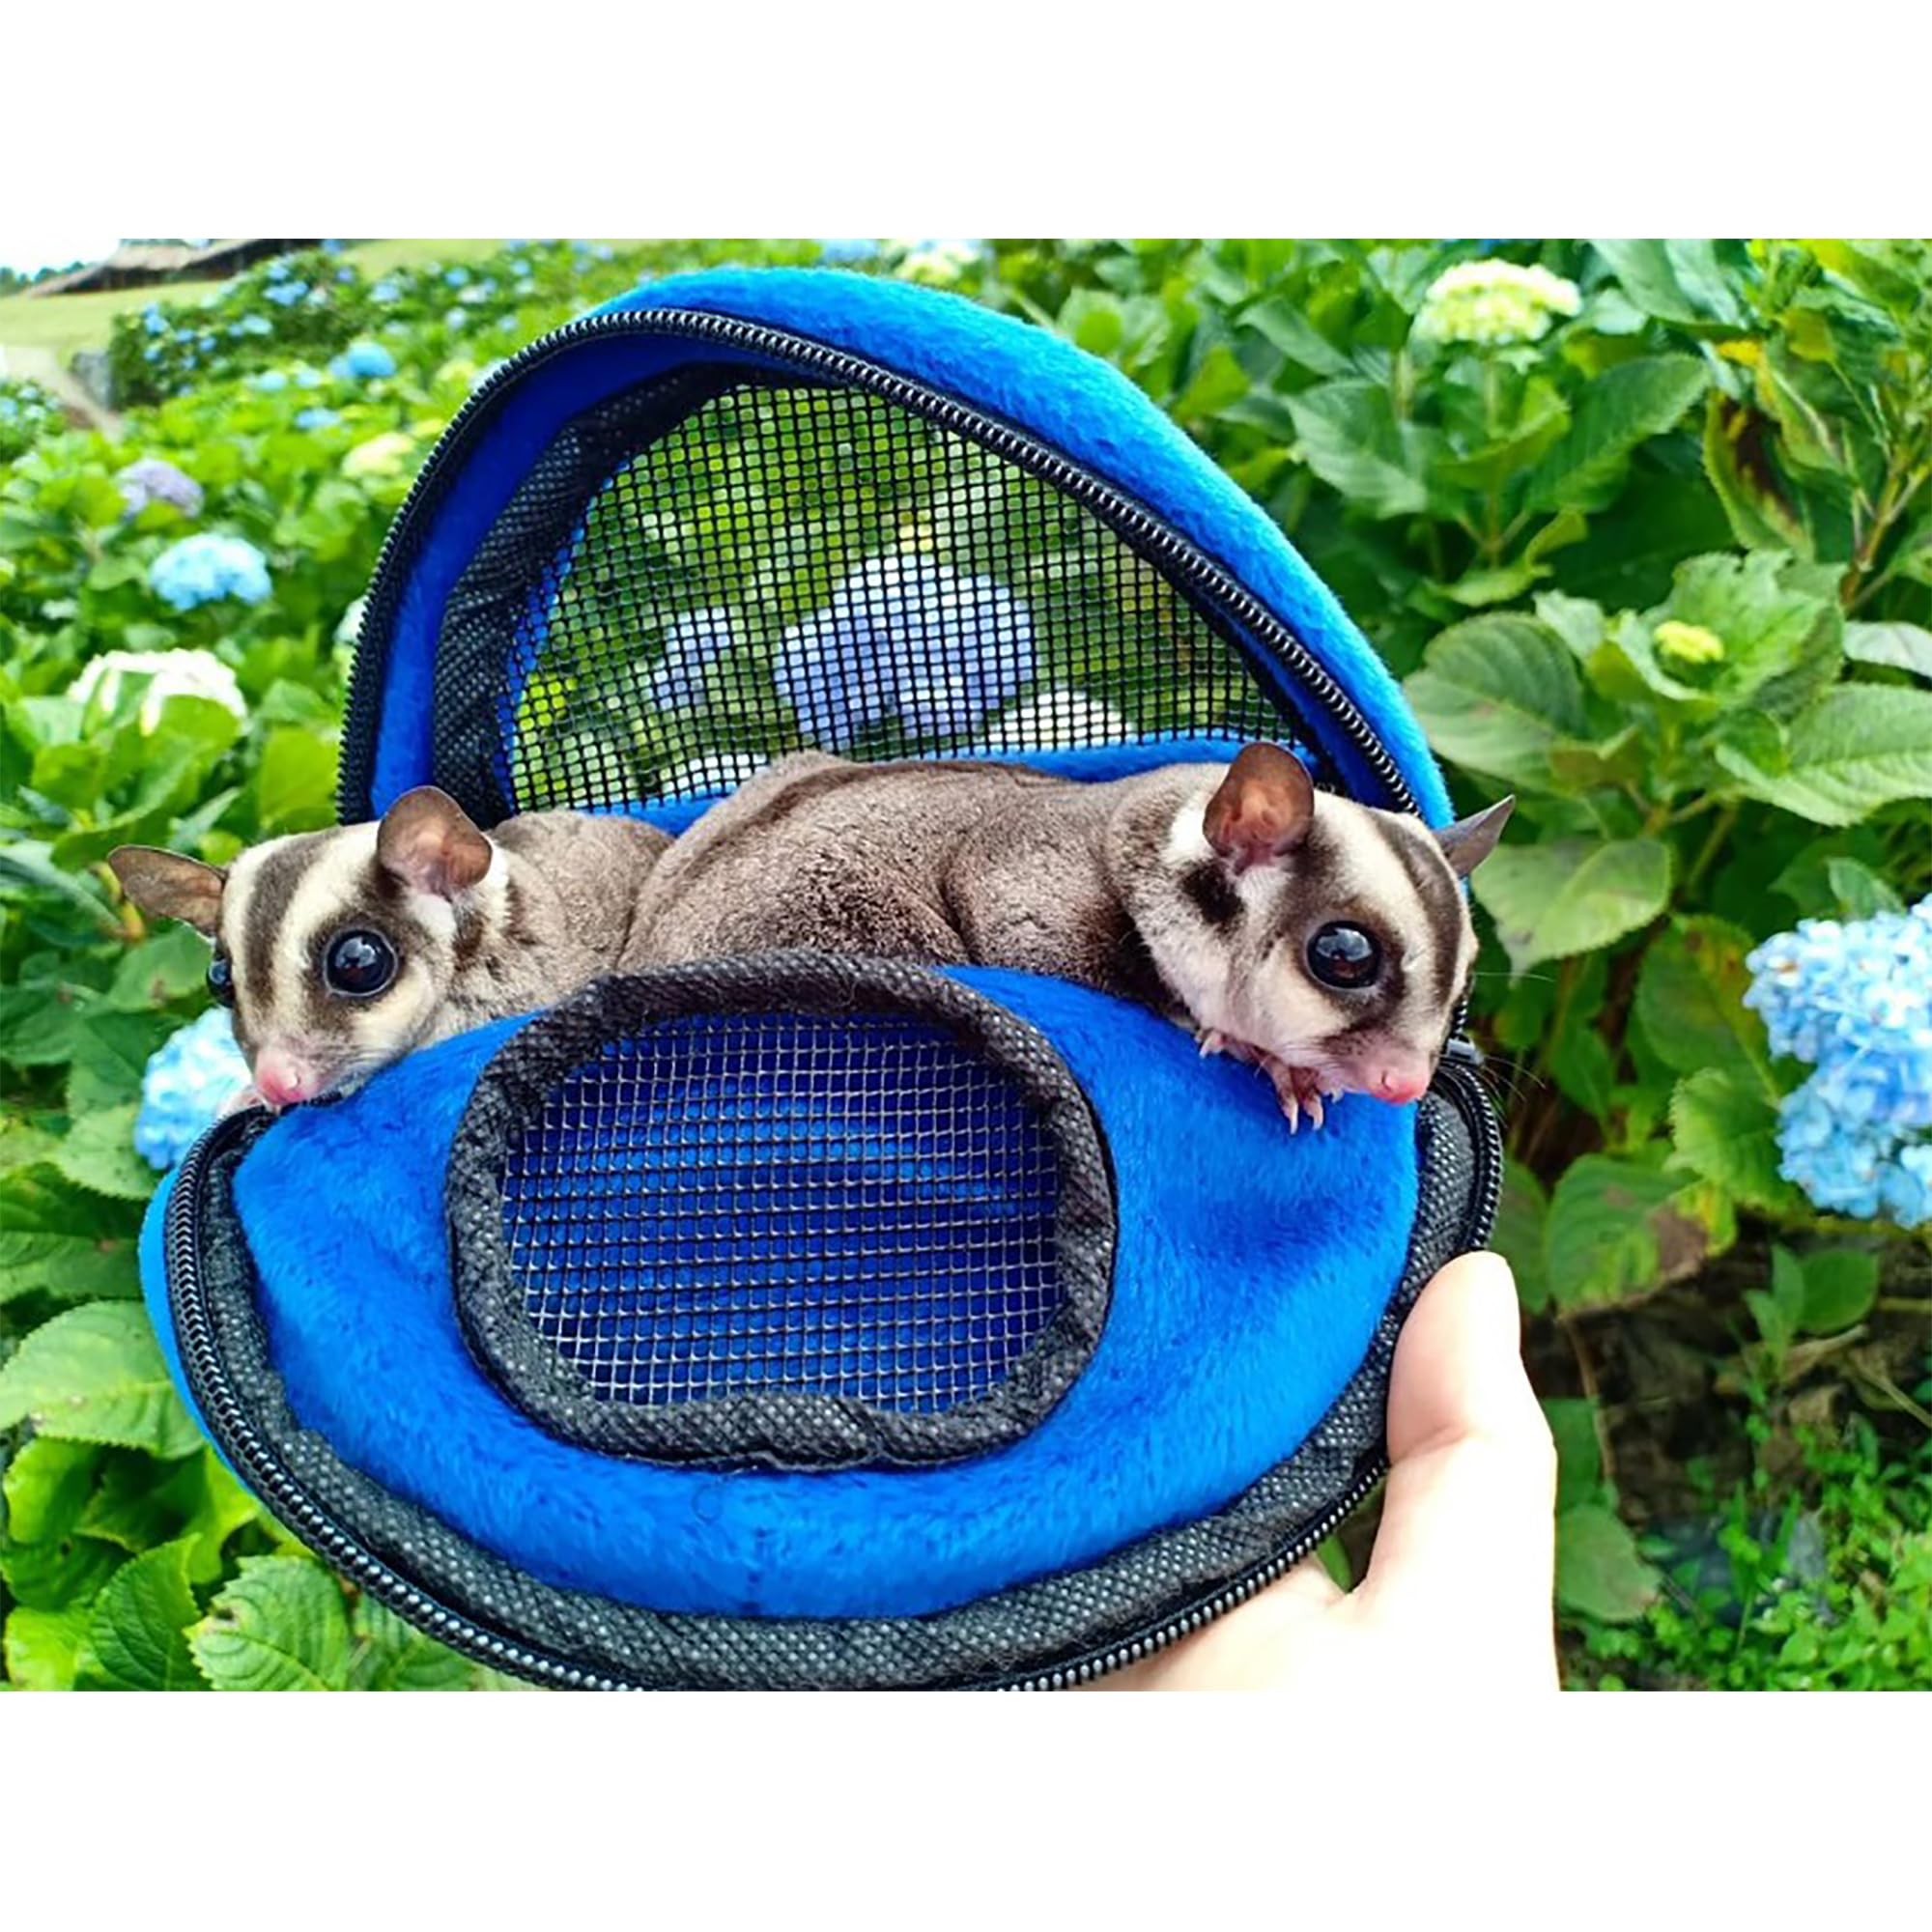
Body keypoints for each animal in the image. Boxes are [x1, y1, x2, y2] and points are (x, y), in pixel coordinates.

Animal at [636, 744, 1511, 1128]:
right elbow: (1031, 938)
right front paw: (1258, 1054)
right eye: (1343, 956)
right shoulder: (1028, 884)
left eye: (1463, 982)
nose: (1405, 1084)